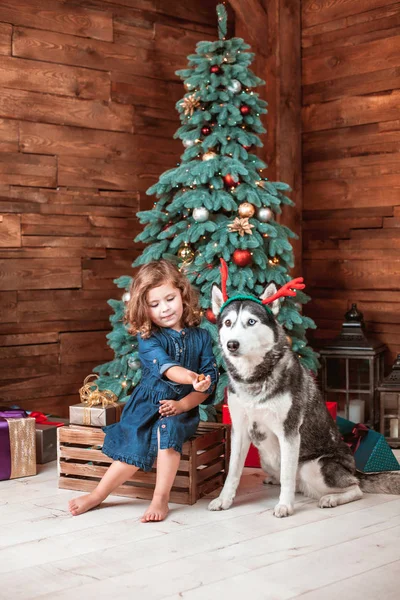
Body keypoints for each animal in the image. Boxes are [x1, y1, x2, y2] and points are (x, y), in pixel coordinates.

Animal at [209, 284, 400, 516]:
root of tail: (355, 469)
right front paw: (224, 500)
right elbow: (233, 472)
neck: (254, 379)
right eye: (228, 323)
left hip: (314, 467)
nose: (232, 344)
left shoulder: (289, 433)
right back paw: (274, 480)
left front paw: (284, 505)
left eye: (251, 322)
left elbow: (287, 475)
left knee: (356, 488)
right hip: (267, 460)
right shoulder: (239, 430)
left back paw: (331, 498)